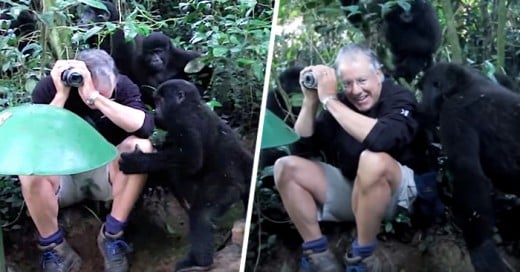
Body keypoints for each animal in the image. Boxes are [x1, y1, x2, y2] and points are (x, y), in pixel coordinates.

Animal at [120, 79, 254, 272]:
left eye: (160, 101)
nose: (155, 113)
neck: (189, 104)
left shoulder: (184, 121)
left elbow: (191, 161)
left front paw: (137, 162)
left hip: (229, 187)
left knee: (201, 215)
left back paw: (200, 262)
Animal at [418, 61, 520, 272]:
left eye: (426, 88)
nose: (420, 106)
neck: (463, 84)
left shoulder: (453, 113)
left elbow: (468, 173)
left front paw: (481, 247)